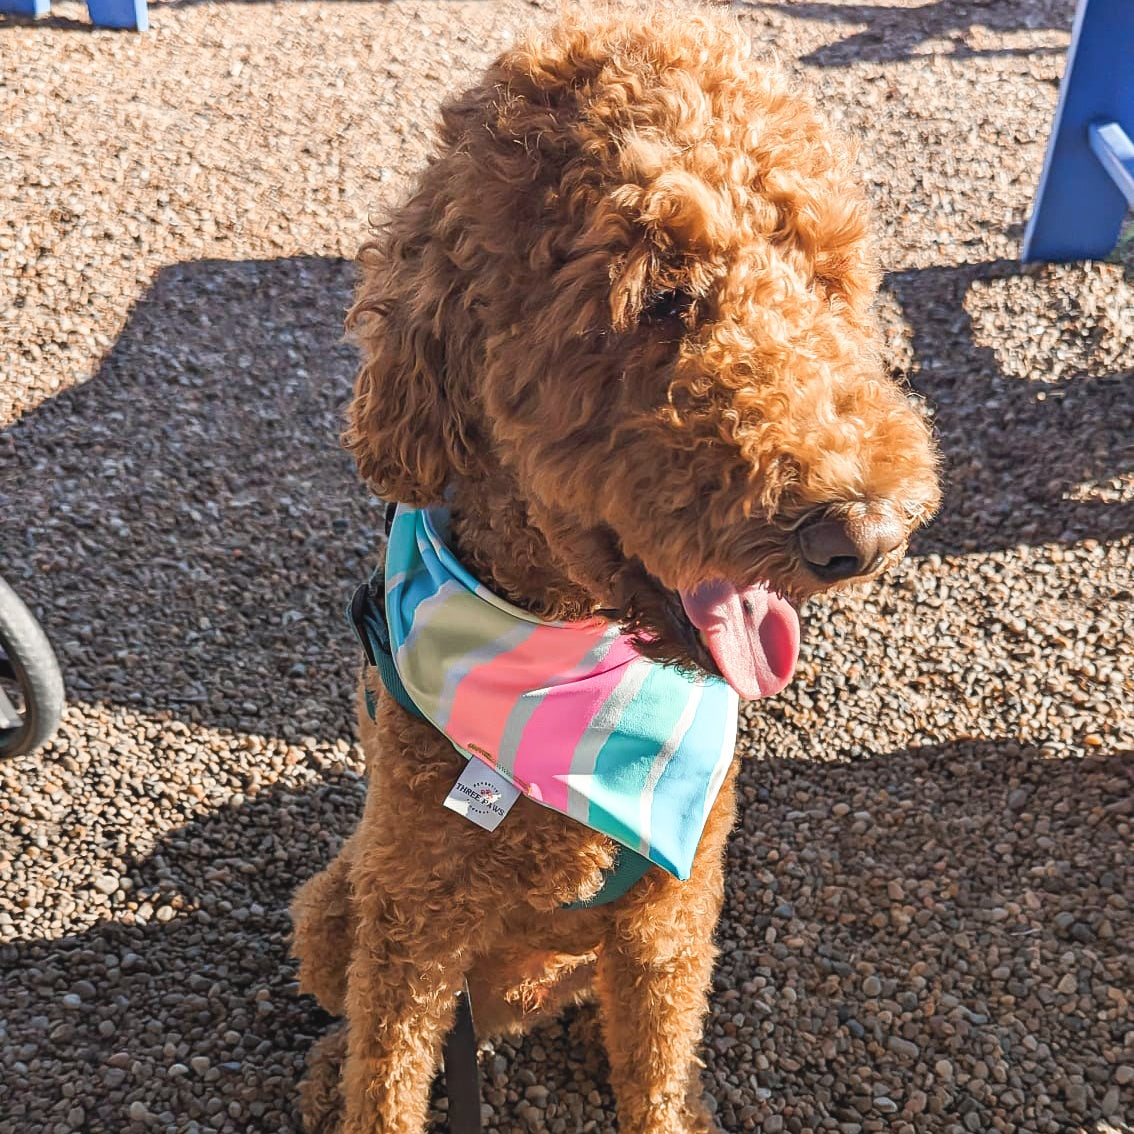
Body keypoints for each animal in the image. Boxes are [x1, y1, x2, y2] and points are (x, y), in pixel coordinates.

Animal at [290, 4, 938, 1129]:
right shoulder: (412, 923)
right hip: (338, 905)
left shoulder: (671, 921)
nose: (864, 532)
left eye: (826, 279)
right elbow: (388, 1074)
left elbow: (656, 1066)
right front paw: (358, 1085)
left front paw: (669, 1101)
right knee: (352, 1010)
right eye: (662, 298)